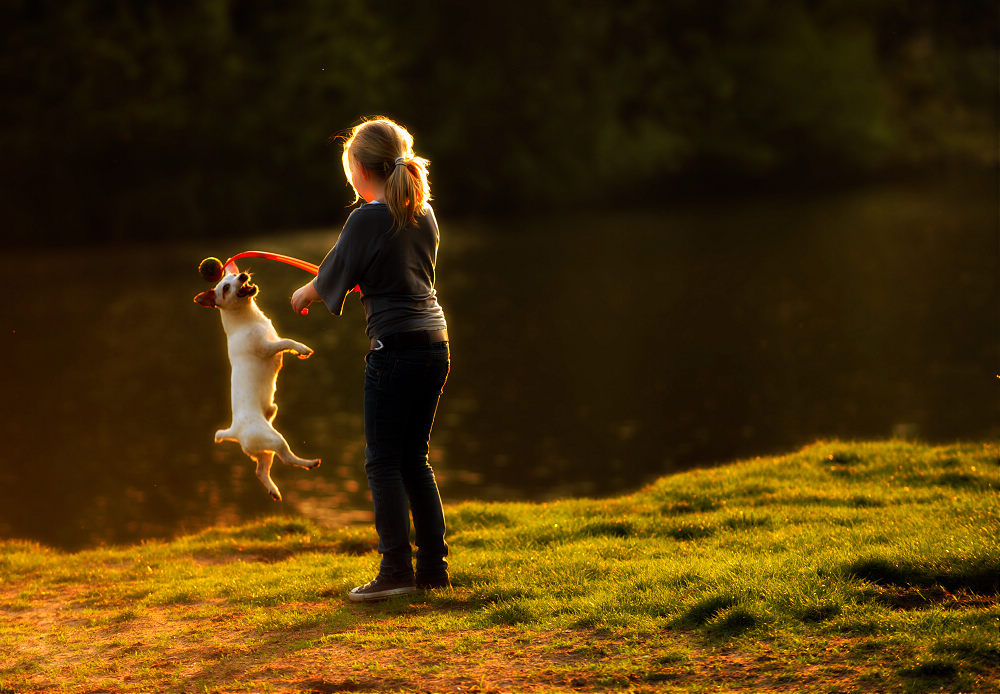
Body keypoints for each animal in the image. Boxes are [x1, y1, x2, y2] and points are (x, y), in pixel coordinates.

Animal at [195, 270, 320, 502]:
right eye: (226, 288)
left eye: (235, 274)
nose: (243, 275)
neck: (248, 320)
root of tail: (234, 431)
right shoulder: (267, 348)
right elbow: (287, 342)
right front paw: (301, 348)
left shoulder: (271, 342)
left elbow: (284, 342)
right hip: (273, 439)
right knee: (286, 458)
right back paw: (308, 463)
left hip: (264, 451)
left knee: (260, 470)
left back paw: (274, 490)